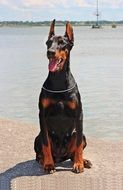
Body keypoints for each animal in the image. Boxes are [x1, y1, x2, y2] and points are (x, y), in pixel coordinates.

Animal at [34, 19, 92, 174]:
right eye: (48, 42)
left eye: (62, 43)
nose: (50, 52)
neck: (59, 80)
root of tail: (60, 157)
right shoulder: (42, 115)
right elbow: (46, 144)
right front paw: (48, 165)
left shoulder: (79, 114)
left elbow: (78, 145)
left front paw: (79, 164)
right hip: (38, 137)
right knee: (39, 152)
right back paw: (44, 161)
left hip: (80, 135)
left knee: (74, 150)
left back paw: (83, 161)